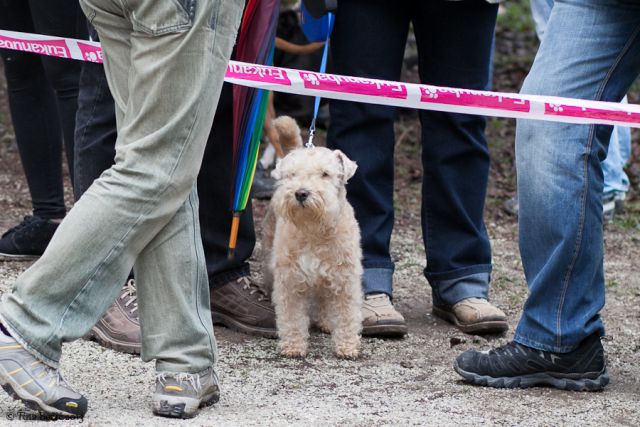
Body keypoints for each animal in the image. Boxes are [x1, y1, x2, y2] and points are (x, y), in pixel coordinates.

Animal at [262, 119, 362, 358]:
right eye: (292, 174)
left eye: (325, 174)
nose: (301, 193)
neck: (314, 230)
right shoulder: (289, 280)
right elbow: (291, 317)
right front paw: (293, 346)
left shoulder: (345, 279)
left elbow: (346, 316)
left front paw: (347, 346)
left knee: (324, 300)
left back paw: (326, 322)